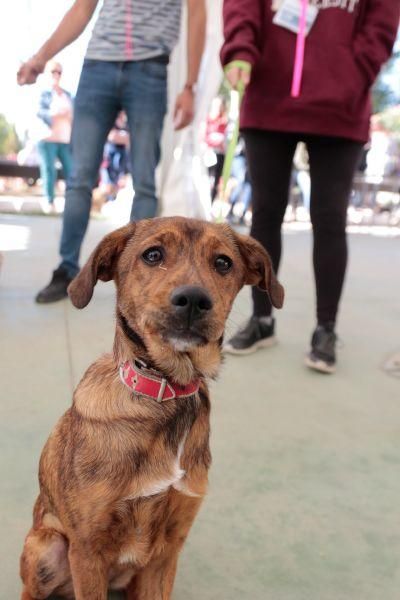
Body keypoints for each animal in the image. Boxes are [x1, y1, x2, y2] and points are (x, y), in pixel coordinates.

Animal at [19, 217, 284, 600]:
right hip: (47, 548)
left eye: (223, 262)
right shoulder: (87, 551)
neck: (166, 392)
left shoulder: (167, 551)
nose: (193, 300)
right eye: (153, 255)